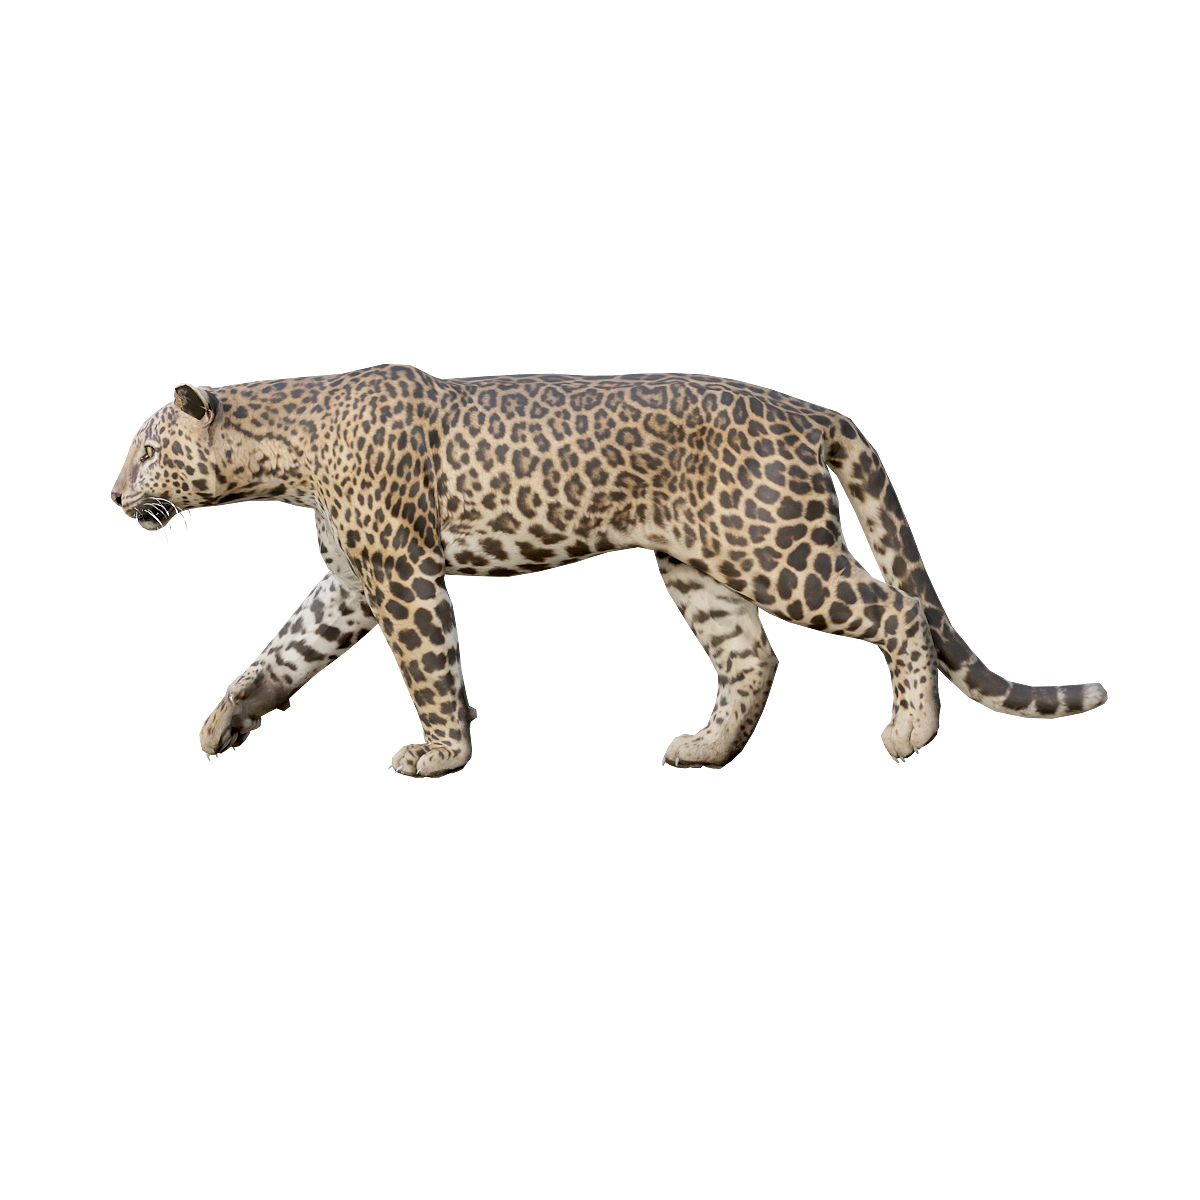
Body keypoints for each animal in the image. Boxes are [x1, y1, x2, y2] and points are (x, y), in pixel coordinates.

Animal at [111, 366, 1107, 776]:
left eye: (151, 451)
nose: (119, 497)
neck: (284, 444)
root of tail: (808, 408)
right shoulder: (354, 580)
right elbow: (281, 648)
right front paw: (225, 717)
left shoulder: (400, 573)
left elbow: (430, 668)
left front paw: (441, 752)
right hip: (704, 561)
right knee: (753, 656)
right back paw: (706, 750)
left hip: (777, 548)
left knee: (897, 607)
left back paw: (908, 731)